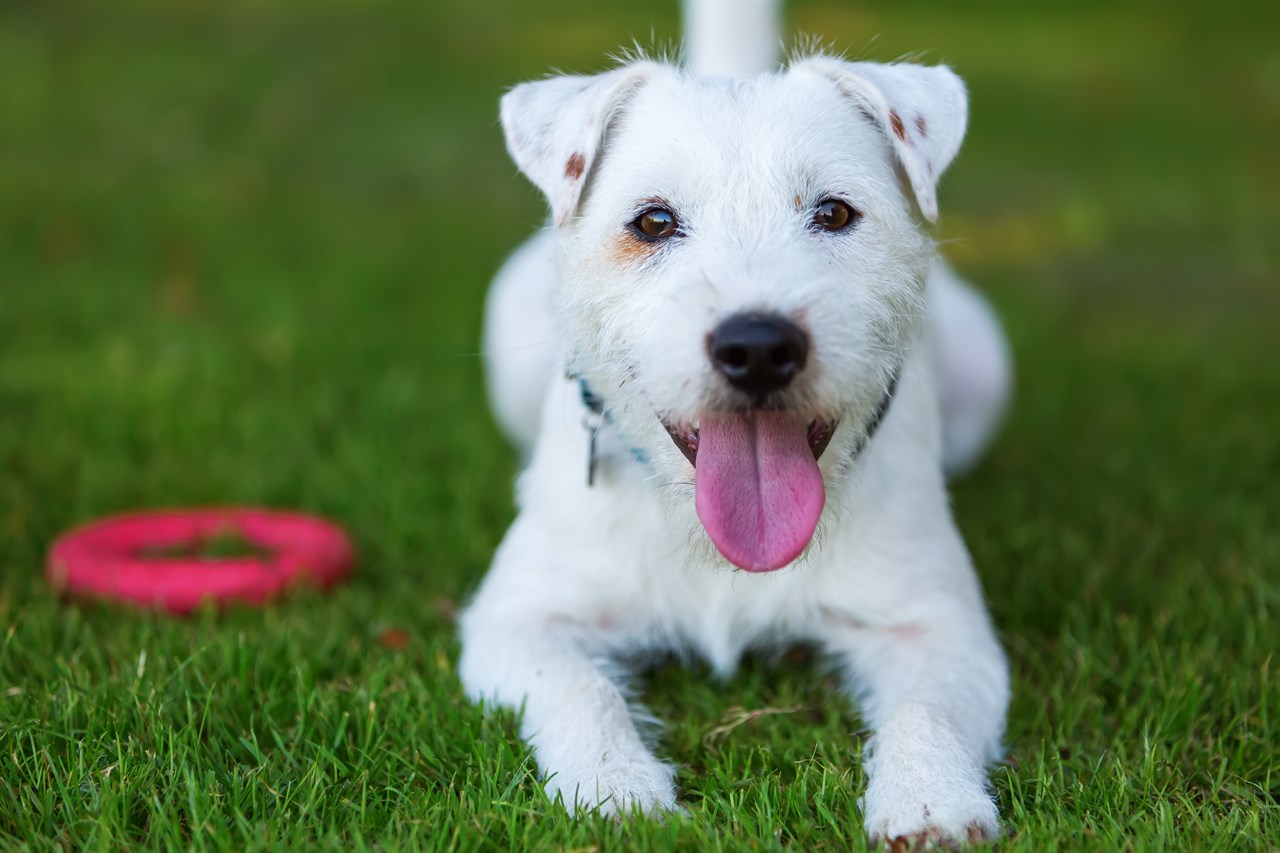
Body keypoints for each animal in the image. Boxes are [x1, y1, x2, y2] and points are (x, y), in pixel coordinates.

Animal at [460, 0, 1008, 840]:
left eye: (834, 212)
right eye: (653, 221)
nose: (757, 347)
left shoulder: (940, 627)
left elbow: (929, 708)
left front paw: (931, 799)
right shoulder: (520, 617)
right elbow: (578, 687)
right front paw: (615, 787)